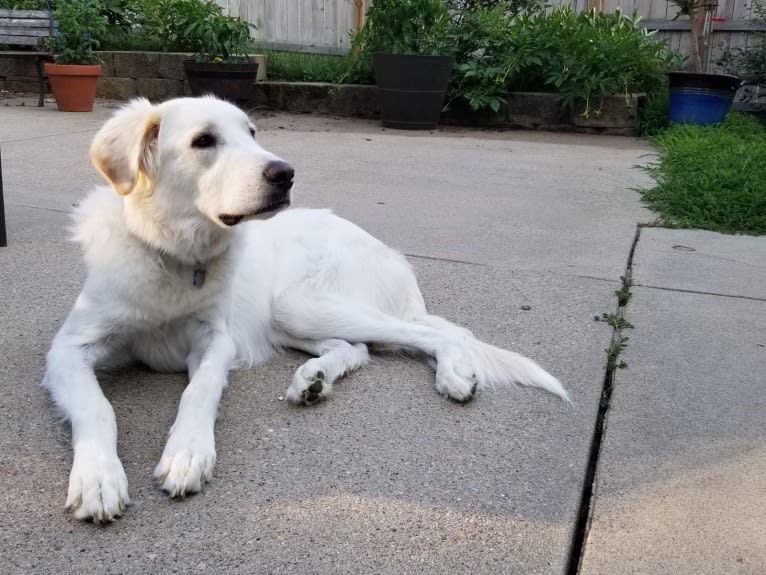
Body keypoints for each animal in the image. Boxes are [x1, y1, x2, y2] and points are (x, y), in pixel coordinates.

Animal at [43, 97, 568, 524]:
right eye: (204, 140)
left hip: (298, 304)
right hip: (294, 318)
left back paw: (452, 375)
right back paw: (313, 380)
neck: (171, 252)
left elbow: (199, 392)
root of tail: (391, 255)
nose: (285, 173)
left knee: (440, 333)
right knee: (358, 349)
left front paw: (188, 453)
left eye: (252, 132)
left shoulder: (216, 341)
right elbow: (97, 407)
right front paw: (98, 477)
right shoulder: (67, 349)